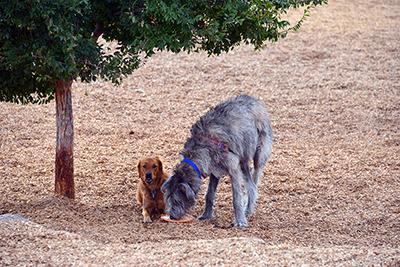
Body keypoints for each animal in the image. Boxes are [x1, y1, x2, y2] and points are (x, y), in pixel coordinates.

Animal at [162, 95, 272, 227]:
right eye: (168, 198)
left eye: (177, 200)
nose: (171, 217)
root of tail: (253, 99)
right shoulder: (214, 169)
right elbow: (209, 194)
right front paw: (206, 215)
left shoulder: (233, 169)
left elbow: (236, 197)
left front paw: (240, 221)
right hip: (242, 159)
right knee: (250, 183)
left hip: (259, 152)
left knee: (254, 181)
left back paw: (248, 209)